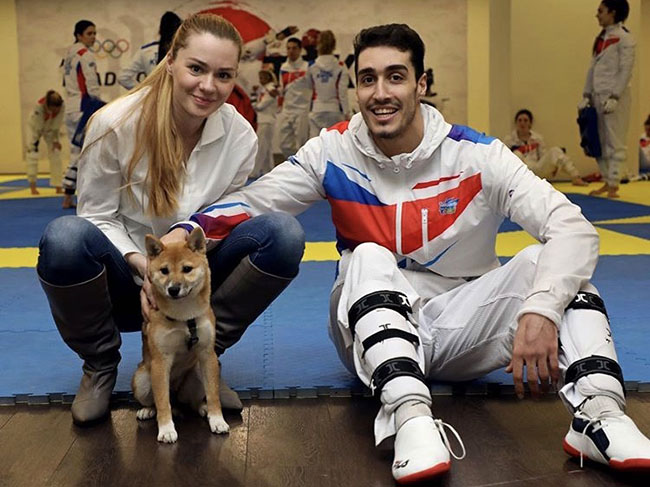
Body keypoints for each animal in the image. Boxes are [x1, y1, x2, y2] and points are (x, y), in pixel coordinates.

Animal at [131, 227, 229, 443]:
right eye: (164, 270)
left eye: (187, 269)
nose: (173, 289)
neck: (185, 316)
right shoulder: (160, 362)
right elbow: (162, 402)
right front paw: (166, 429)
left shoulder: (207, 354)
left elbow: (213, 394)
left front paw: (217, 419)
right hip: (142, 379)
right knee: (158, 401)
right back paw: (147, 410)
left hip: (198, 373)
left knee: (193, 401)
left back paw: (203, 409)